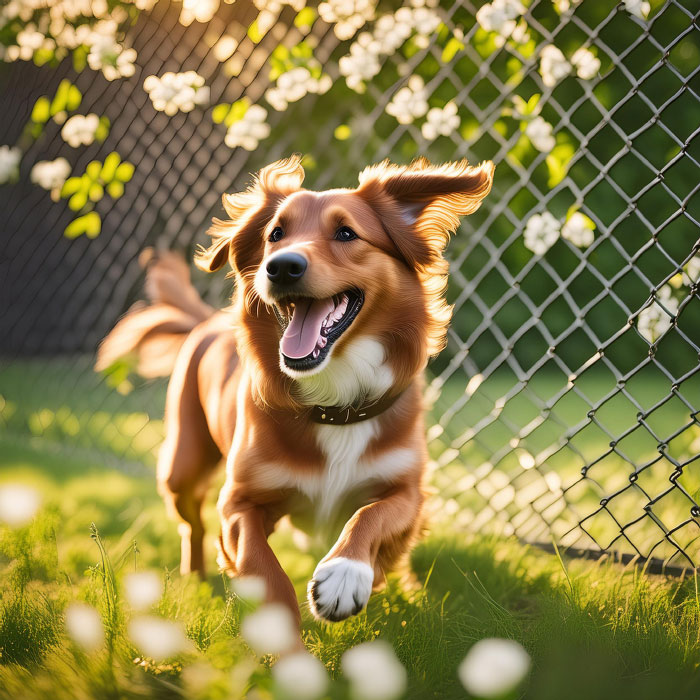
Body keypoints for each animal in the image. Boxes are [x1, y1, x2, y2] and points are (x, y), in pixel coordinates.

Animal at [95, 157, 494, 628]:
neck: (334, 403)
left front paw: (345, 572)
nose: (281, 267)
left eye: (346, 233)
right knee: (192, 526)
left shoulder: (406, 491)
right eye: (275, 235)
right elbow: (264, 568)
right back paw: (195, 577)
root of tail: (206, 320)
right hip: (182, 466)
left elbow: (371, 515)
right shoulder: (240, 502)